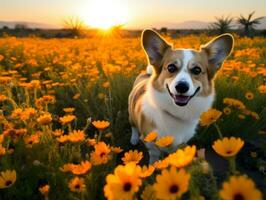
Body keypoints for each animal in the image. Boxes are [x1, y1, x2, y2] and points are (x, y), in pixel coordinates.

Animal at [128, 29, 234, 162]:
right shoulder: (150, 143)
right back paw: (134, 139)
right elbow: (154, 157)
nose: (182, 87)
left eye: (197, 70)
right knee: (133, 126)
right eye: (171, 67)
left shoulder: (180, 143)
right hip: (131, 113)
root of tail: (145, 75)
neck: (176, 113)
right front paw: (153, 165)